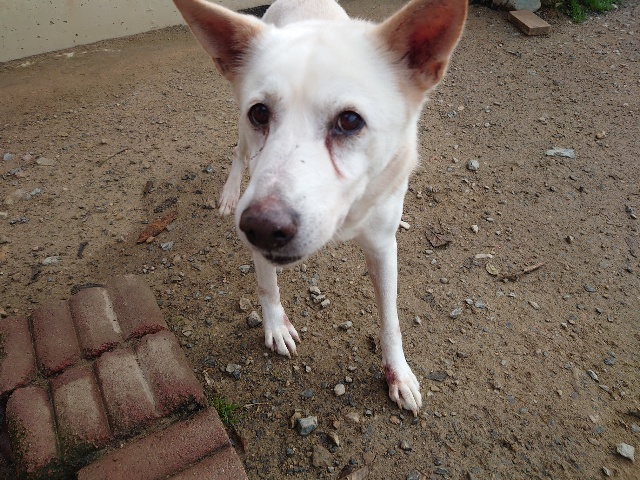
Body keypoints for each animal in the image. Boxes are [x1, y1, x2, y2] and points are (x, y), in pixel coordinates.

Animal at [173, 0, 467, 414]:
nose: (261, 228)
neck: (345, 217)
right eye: (260, 113)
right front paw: (276, 326)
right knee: (238, 155)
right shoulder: (258, 205)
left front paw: (398, 373)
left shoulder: (382, 245)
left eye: (350, 121)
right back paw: (229, 192)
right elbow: (267, 287)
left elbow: (390, 318)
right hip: (244, 145)